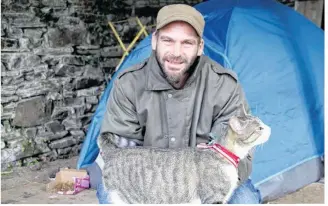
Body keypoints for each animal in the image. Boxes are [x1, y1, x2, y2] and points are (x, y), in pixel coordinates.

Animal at [98, 108, 272, 204]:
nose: (270, 128)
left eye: (262, 125)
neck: (223, 152)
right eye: (259, 128)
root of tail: (113, 151)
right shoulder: (213, 199)